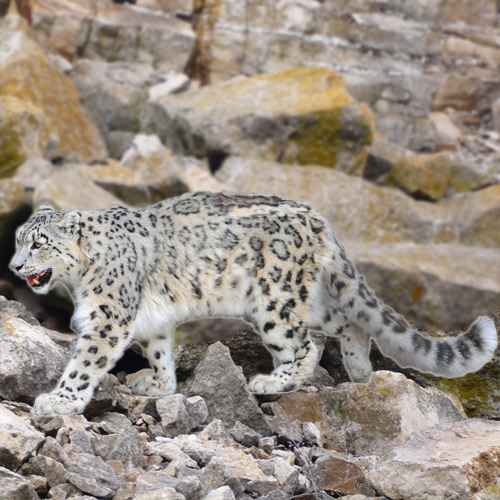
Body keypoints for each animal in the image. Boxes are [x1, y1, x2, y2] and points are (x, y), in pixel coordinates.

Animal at [9, 191, 498, 415]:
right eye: (17, 239)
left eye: (39, 243)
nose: (13, 267)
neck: (78, 281)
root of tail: (320, 220)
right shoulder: (152, 319)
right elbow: (159, 349)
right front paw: (158, 384)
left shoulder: (108, 316)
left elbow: (86, 360)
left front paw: (59, 400)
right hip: (306, 298)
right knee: (348, 322)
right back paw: (359, 372)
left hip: (273, 300)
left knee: (305, 344)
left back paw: (273, 381)